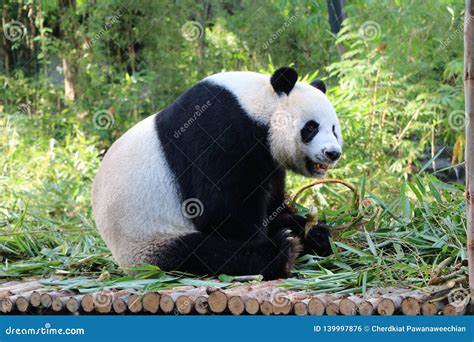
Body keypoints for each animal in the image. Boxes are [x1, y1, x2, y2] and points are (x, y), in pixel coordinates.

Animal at [92, 67, 342, 280]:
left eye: (334, 129)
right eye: (311, 127)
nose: (332, 153)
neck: (258, 106)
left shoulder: (268, 159)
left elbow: (272, 203)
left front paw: (309, 229)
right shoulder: (218, 131)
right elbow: (219, 209)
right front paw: (278, 238)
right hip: (147, 240)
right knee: (200, 254)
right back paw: (281, 252)